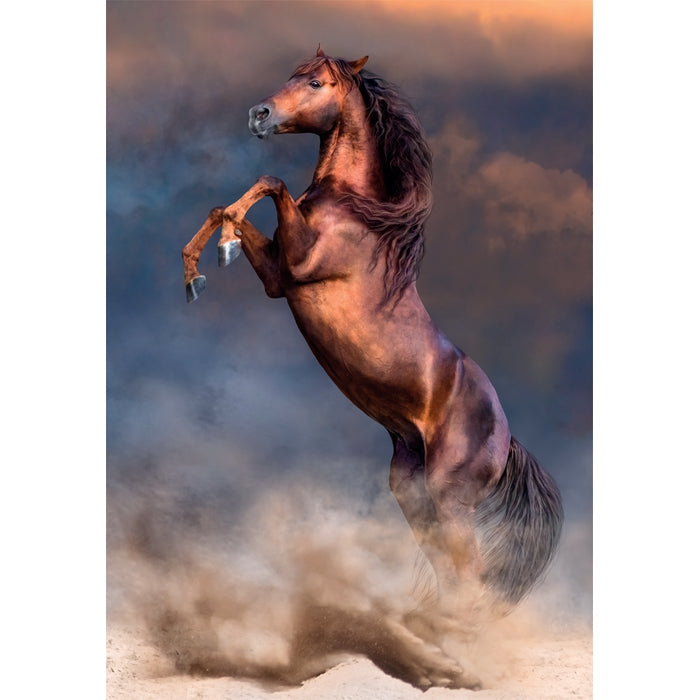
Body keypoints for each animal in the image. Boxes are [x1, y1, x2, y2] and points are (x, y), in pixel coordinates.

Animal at [181, 48, 563, 685]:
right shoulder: (279, 278)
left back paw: (455, 657)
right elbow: (230, 205)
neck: (354, 212)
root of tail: (507, 438)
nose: (259, 115)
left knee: (470, 576)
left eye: (314, 82)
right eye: (290, 75)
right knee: (451, 575)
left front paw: (218, 252)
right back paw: (433, 647)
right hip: (413, 493)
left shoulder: (299, 263)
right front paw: (200, 266)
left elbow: (271, 181)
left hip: (450, 496)